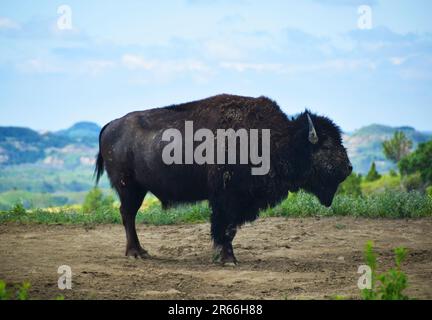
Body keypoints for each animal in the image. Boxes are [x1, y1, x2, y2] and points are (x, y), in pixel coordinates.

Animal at [94, 94, 352, 264]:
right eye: (326, 145)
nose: (348, 168)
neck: (278, 139)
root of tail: (109, 126)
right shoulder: (227, 198)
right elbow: (225, 228)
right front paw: (228, 258)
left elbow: (227, 229)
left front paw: (222, 255)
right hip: (129, 187)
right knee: (128, 214)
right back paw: (136, 253)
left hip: (136, 189)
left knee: (128, 214)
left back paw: (140, 252)